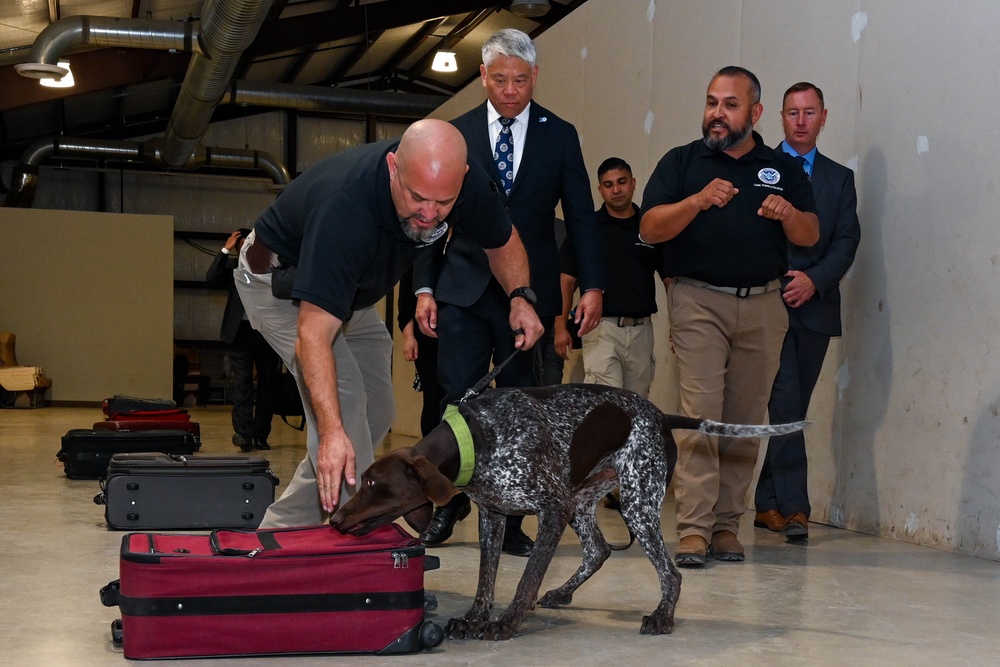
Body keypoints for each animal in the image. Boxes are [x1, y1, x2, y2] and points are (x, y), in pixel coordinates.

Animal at [332, 386, 808, 640]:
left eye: (372, 484)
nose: (334, 519)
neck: (478, 440)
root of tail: (659, 414)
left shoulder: (551, 509)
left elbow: (524, 581)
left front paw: (506, 623)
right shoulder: (494, 515)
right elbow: (486, 579)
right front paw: (473, 618)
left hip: (636, 502)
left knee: (670, 573)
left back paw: (662, 616)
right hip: (584, 501)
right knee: (599, 550)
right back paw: (563, 593)